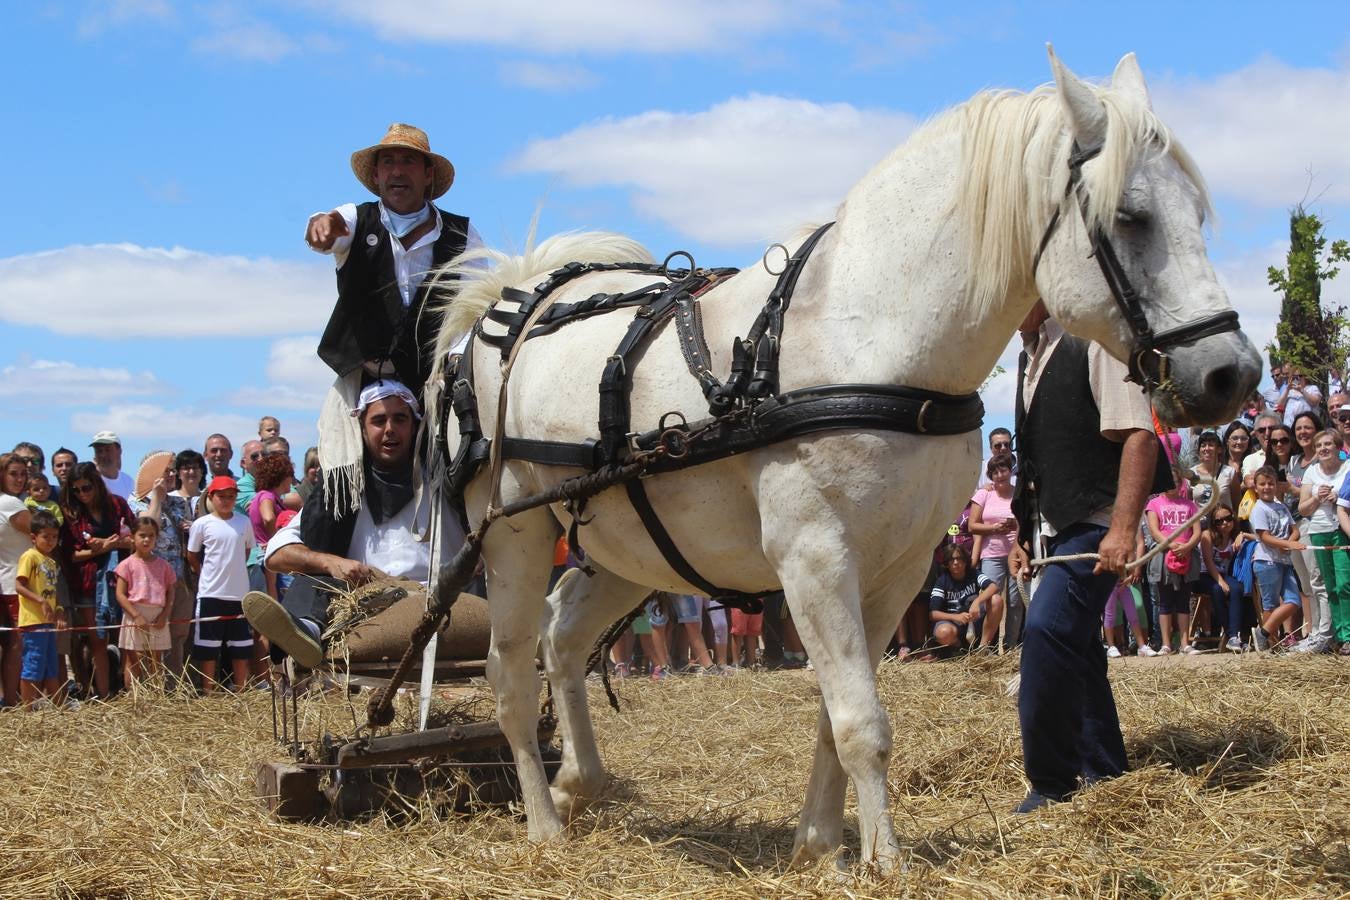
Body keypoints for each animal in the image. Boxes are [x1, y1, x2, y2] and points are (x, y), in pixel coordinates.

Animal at [429, 47, 1263, 863]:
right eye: (1131, 217)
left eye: (1196, 214)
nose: (1232, 373)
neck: (867, 334)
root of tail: (514, 301)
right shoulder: (816, 555)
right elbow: (860, 719)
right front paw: (883, 860)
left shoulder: (900, 567)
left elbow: (837, 713)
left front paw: (820, 843)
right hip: (513, 534)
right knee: (510, 669)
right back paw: (544, 824)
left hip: (627, 549)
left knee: (563, 637)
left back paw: (581, 781)